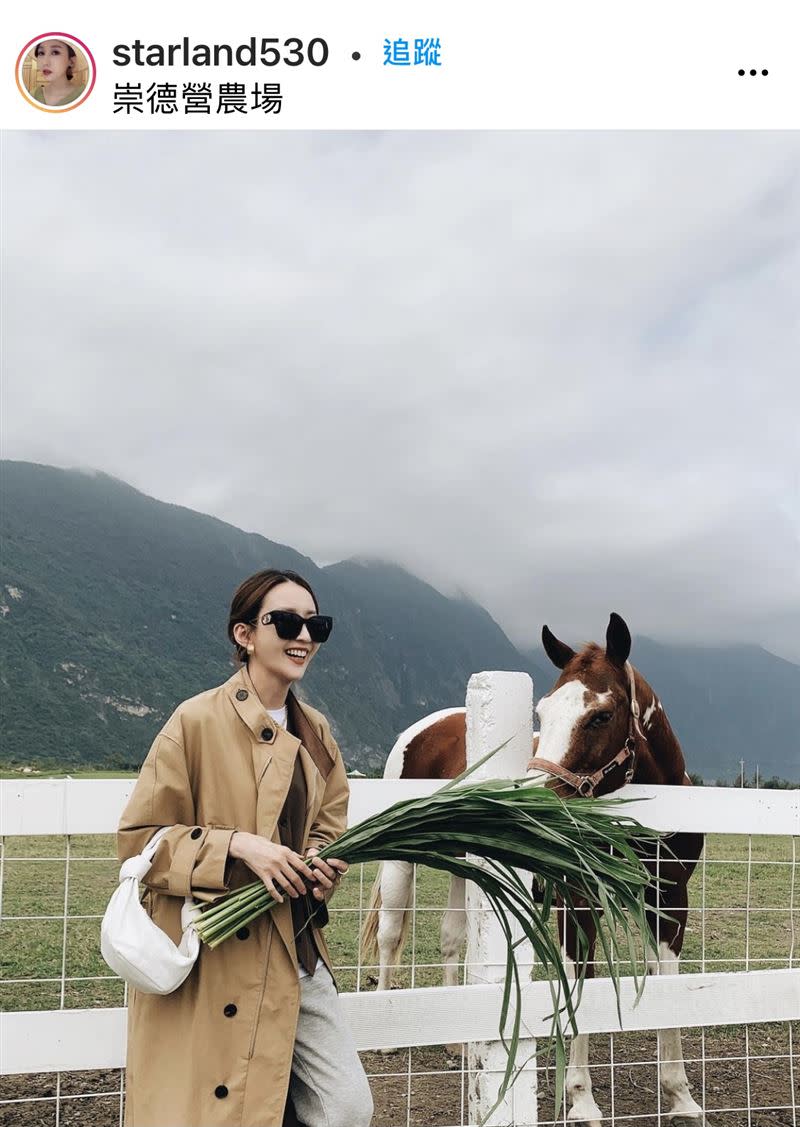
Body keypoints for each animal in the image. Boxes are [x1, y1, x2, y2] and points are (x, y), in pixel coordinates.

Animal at [362, 617, 707, 1127]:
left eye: (601, 715)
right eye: (541, 712)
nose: (536, 804)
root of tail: (425, 728)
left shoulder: (668, 901)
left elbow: (669, 986)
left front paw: (680, 1096)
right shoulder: (577, 902)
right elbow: (580, 985)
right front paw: (581, 1099)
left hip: (462, 867)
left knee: (451, 937)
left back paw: (457, 1043)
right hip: (399, 859)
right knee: (389, 934)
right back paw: (386, 1034)